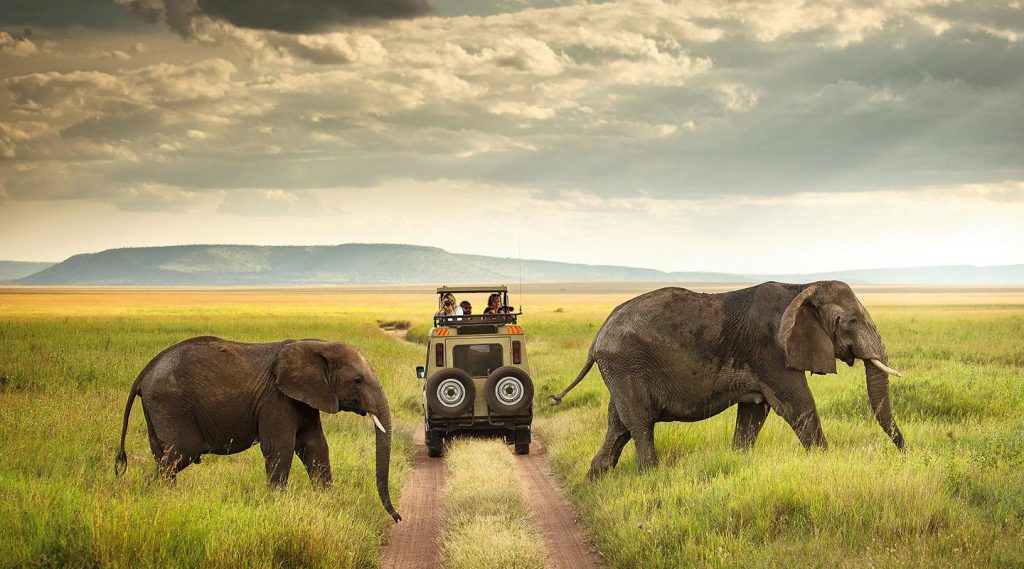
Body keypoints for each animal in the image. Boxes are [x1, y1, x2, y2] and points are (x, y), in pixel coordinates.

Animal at [114, 336, 401, 522]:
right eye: (358, 380)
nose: (397, 517)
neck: (319, 345)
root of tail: (144, 373)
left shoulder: (307, 398)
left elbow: (316, 447)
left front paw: (327, 501)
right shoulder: (277, 399)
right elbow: (280, 449)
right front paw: (279, 506)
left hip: (157, 407)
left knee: (163, 456)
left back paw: (167, 499)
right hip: (171, 403)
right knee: (180, 453)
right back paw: (156, 497)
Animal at [551, 281, 905, 478]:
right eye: (852, 321)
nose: (904, 454)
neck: (801, 288)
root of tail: (596, 339)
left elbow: (754, 412)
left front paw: (738, 461)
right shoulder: (770, 350)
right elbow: (796, 405)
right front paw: (825, 463)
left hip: (620, 371)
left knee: (618, 423)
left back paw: (596, 478)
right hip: (627, 365)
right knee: (639, 421)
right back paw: (650, 476)